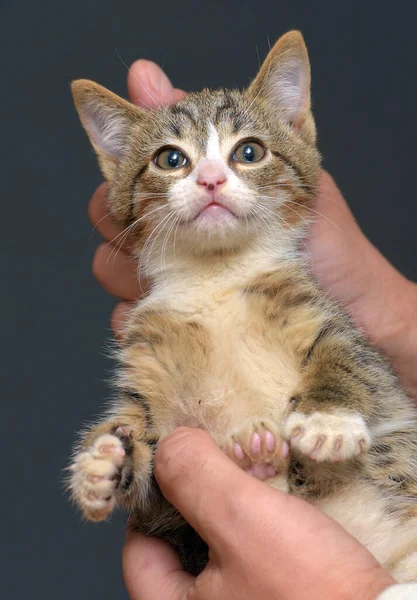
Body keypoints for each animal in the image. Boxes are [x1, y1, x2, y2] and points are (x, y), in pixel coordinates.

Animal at [68, 30, 416, 580]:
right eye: (170, 159)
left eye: (249, 151)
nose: (210, 178)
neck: (216, 280)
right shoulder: (147, 372)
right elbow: (149, 472)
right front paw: (106, 459)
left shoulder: (324, 313)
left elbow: (354, 361)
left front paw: (328, 421)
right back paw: (256, 458)